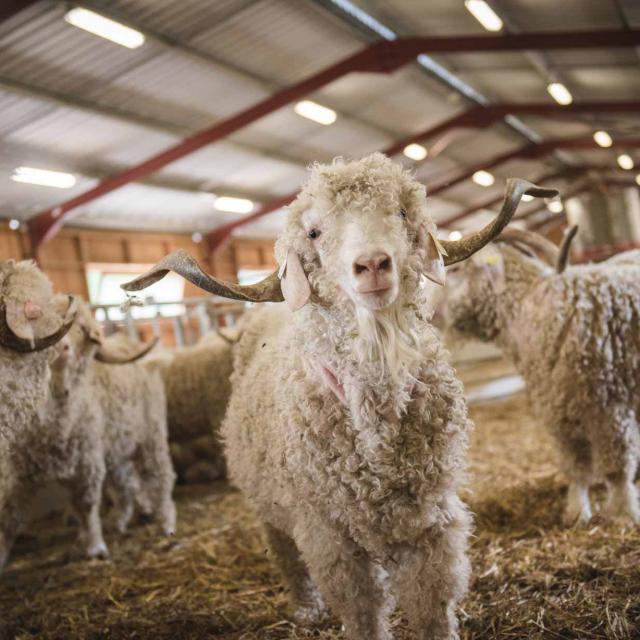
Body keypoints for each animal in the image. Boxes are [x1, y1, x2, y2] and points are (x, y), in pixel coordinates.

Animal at [122, 152, 552, 636]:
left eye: (401, 212)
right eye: (314, 232)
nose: (373, 264)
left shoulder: (433, 522)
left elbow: (431, 606)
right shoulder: (329, 534)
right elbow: (362, 611)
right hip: (267, 503)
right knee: (284, 552)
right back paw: (307, 608)